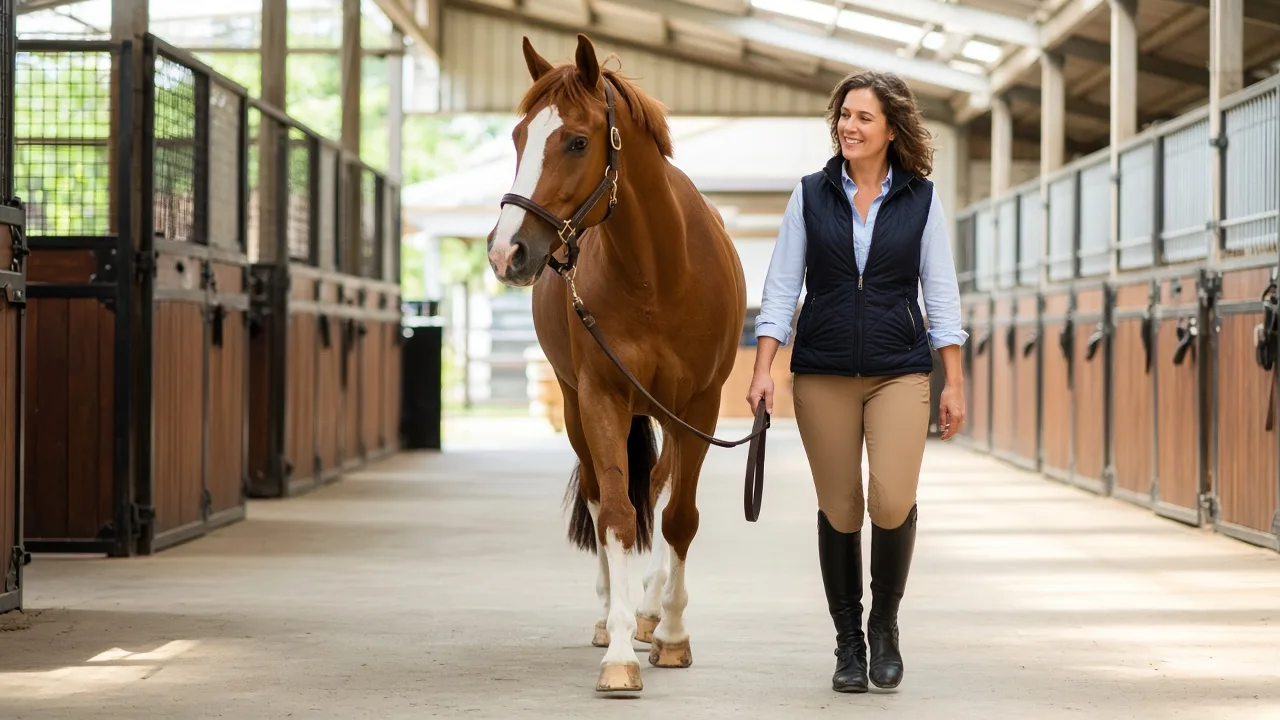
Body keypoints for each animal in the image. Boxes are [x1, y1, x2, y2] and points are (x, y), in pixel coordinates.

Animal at [485, 34, 748, 693]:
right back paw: (614, 616)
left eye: (576, 141)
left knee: (657, 486)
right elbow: (617, 516)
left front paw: (672, 635)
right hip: (577, 405)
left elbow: (679, 517)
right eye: (519, 135)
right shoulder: (601, 395)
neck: (657, 272)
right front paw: (622, 652)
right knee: (603, 497)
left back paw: (651, 611)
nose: (505, 252)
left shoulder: (699, 405)